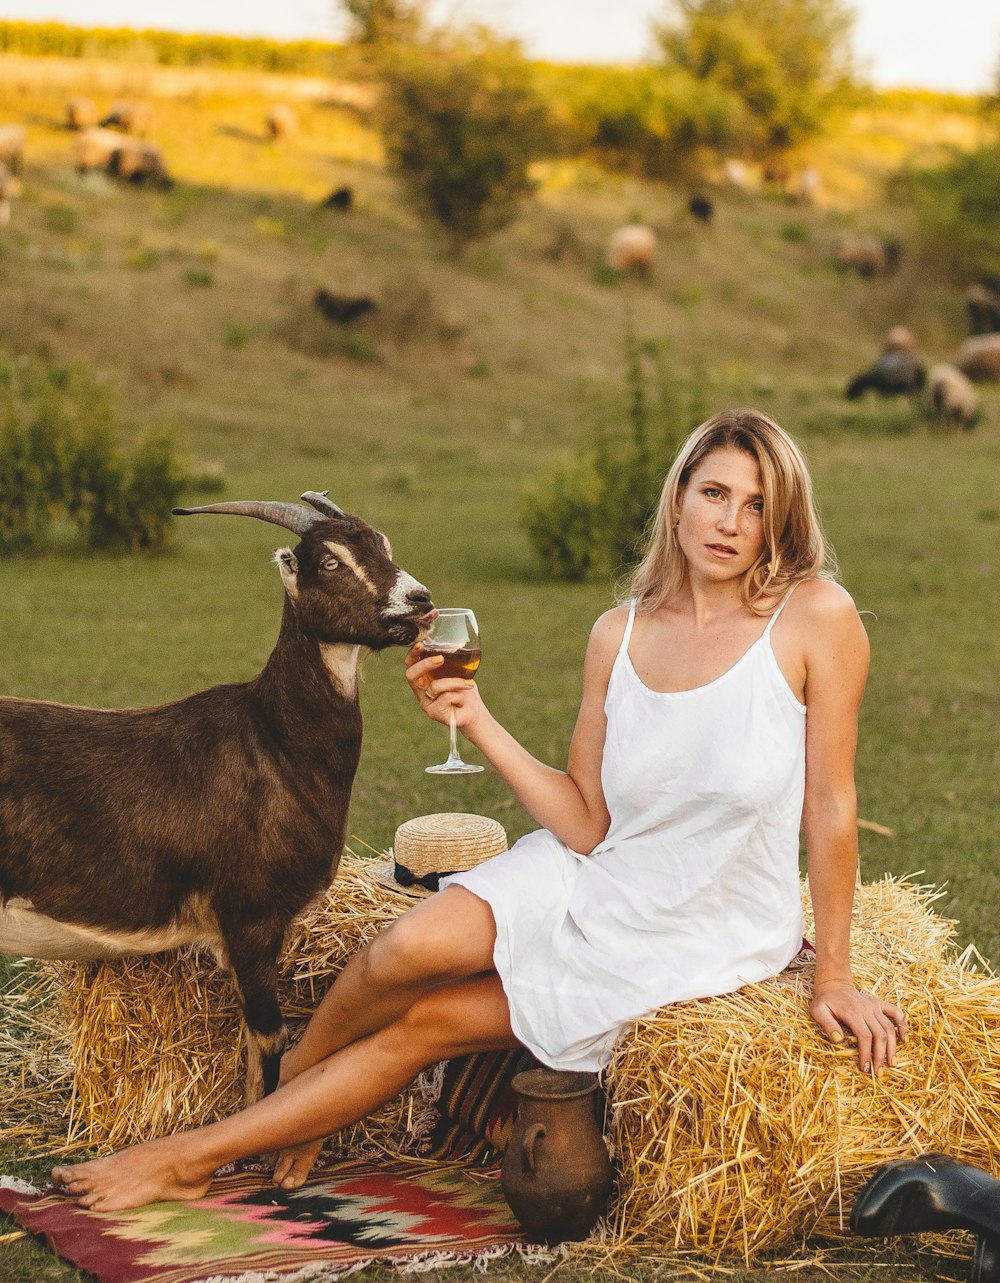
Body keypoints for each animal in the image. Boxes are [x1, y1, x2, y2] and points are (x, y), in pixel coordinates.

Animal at [0, 490, 439, 1103]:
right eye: (329, 561)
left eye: (384, 545)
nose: (420, 601)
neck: (272, 741)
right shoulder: (251, 917)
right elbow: (269, 1041)